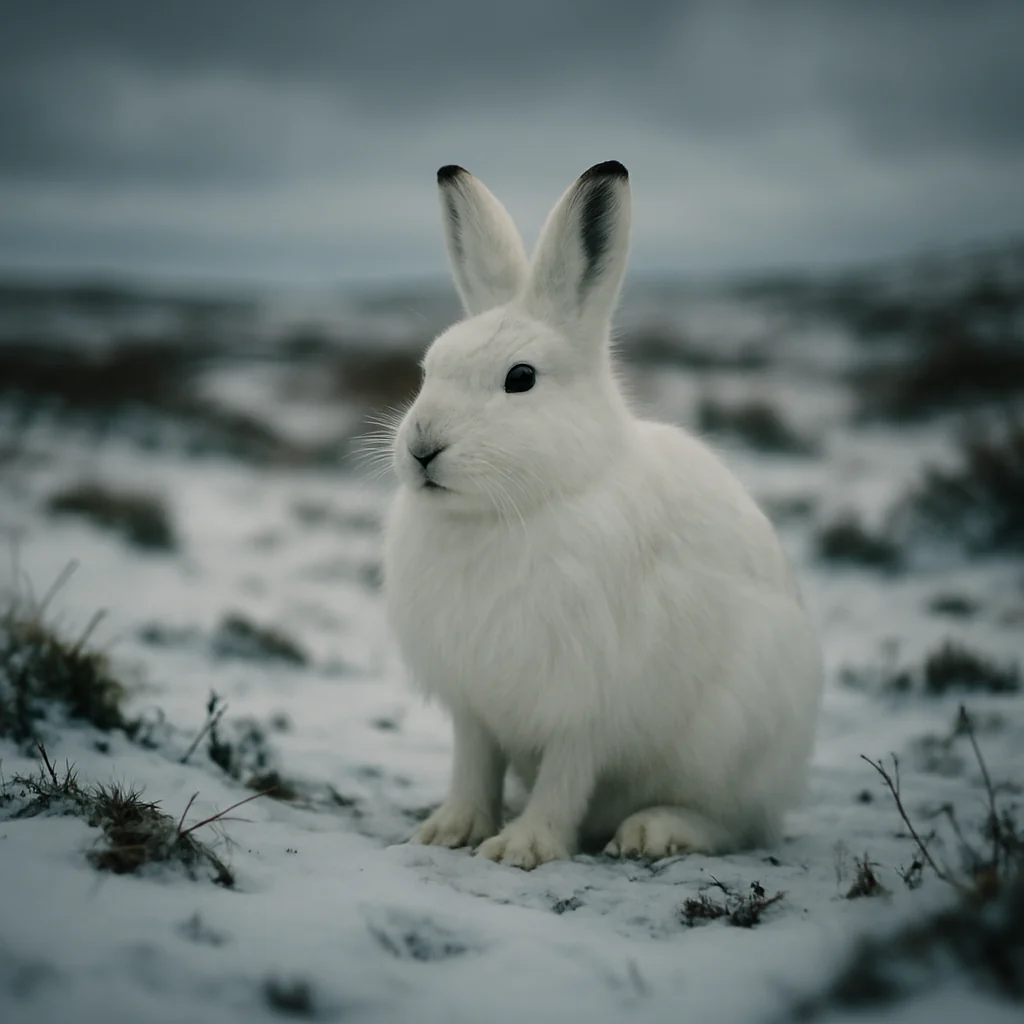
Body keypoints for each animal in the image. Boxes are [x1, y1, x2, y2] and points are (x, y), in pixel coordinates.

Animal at [382, 160, 823, 870]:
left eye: (521, 378)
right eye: (428, 370)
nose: (422, 447)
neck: (513, 509)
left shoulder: (585, 702)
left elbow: (565, 777)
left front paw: (524, 846)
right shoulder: (473, 702)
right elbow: (472, 765)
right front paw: (448, 829)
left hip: (734, 739)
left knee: (737, 824)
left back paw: (655, 831)